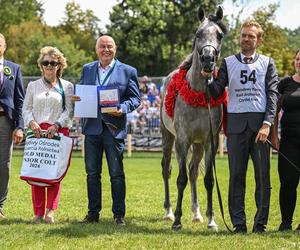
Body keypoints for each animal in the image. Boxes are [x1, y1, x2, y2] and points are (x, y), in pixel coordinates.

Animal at [161, 5, 226, 230]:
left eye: (220, 35)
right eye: (198, 34)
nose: (207, 60)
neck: (199, 93)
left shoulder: (209, 142)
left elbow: (208, 180)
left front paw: (212, 220)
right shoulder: (182, 140)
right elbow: (180, 179)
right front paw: (177, 221)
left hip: (197, 145)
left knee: (193, 171)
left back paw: (197, 213)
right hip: (168, 138)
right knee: (168, 170)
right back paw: (169, 212)